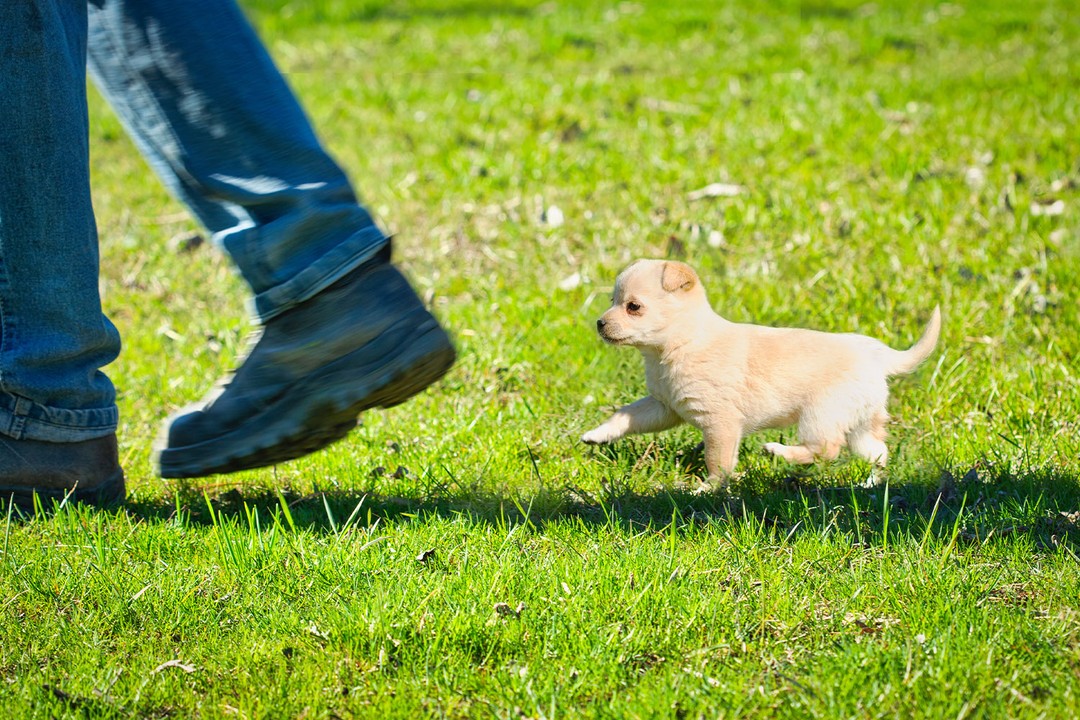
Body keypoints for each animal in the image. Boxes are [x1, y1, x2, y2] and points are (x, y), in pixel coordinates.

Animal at [583, 259, 937, 483]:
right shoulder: (664, 407)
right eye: (612, 301)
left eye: (633, 307)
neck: (680, 345)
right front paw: (598, 434)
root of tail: (876, 357)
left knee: (825, 450)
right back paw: (872, 483)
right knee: (877, 452)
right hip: (859, 423)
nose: (599, 323)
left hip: (820, 416)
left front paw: (709, 487)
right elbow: (626, 414)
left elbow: (718, 461)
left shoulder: (720, 423)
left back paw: (778, 451)